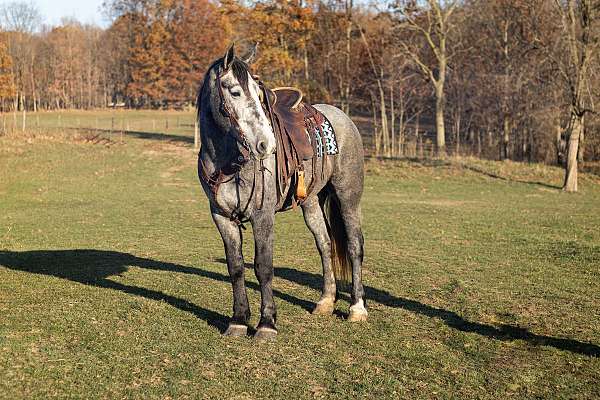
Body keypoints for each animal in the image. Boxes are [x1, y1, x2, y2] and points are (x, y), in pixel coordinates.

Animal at [197, 46, 366, 340]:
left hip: (348, 197)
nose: (266, 144)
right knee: (324, 244)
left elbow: (263, 266)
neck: (227, 159)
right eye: (235, 92)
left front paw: (267, 324)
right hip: (311, 202)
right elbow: (235, 267)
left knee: (355, 245)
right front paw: (238, 320)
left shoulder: (263, 216)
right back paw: (325, 301)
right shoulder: (221, 216)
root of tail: (340, 115)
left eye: (259, 93)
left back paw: (357, 308)